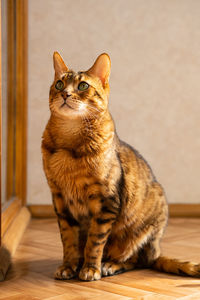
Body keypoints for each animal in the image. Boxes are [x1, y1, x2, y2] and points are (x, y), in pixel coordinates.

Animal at [41, 52, 200, 282]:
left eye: (82, 86)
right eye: (59, 84)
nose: (65, 94)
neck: (68, 145)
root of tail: (156, 251)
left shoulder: (106, 201)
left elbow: (95, 242)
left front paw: (91, 269)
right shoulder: (60, 200)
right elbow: (68, 240)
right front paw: (68, 266)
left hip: (141, 230)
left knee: (135, 260)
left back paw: (109, 265)